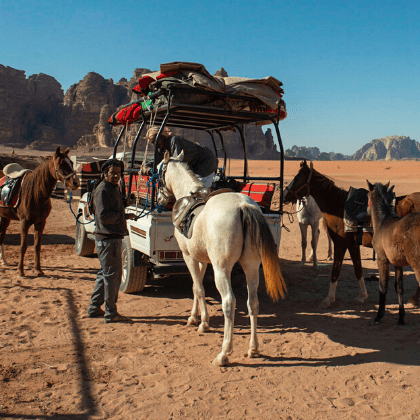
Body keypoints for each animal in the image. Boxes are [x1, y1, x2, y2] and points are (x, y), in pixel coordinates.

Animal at [0, 146, 79, 278]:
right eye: (61, 164)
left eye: (71, 163)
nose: (76, 182)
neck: (36, 193)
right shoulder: (24, 222)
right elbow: (23, 246)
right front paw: (20, 271)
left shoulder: (41, 223)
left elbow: (37, 246)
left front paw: (38, 269)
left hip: (5, 217)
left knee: (2, 235)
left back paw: (4, 261)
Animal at [156, 153, 288, 366]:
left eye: (159, 169)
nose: (160, 198)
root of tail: (244, 206)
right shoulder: (201, 258)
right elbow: (196, 287)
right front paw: (196, 318)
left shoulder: (188, 256)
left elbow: (198, 288)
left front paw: (202, 323)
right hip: (251, 266)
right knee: (253, 302)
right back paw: (253, 348)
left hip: (222, 269)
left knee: (228, 302)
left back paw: (224, 353)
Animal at [284, 161, 420, 308]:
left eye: (297, 177)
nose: (284, 195)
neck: (338, 206)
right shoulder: (352, 245)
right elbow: (358, 269)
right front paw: (362, 296)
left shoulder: (340, 244)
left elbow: (335, 271)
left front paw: (328, 299)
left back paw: (413, 300)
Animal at [366, 180, 420, 324]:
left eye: (367, 196)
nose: (367, 211)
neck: (382, 221)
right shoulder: (397, 264)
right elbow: (399, 288)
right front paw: (401, 317)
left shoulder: (382, 259)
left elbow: (383, 286)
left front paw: (379, 315)